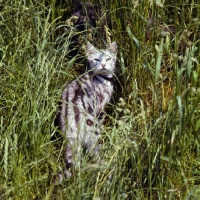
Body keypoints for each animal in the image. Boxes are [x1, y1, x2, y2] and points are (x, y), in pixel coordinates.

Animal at [54, 41, 117, 178]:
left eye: (108, 58)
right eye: (97, 60)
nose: (103, 65)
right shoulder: (100, 109)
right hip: (93, 134)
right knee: (95, 154)